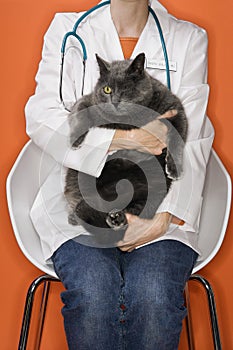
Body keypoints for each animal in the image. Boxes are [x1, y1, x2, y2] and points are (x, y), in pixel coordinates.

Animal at [64, 52, 187, 243]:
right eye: (107, 89)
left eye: (126, 89)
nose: (114, 101)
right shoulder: (88, 101)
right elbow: (80, 114)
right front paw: (75, 140)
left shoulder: (175, 108)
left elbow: (178, 138)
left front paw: (174, 168)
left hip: (153, 184)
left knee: (139, 208)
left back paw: (118, 219)